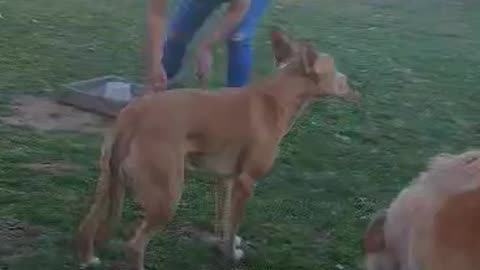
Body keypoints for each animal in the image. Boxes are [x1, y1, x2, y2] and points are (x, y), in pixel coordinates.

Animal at [76, 30, 360, 268]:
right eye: (337, 71)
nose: (353, 86)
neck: (276, 97)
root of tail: (133, 114)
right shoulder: (246, 182)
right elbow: (233, 225)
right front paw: (230, 254)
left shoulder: (227, 180)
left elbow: (224, 219)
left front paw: (225, 244)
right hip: (167, 197)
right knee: (135, 246)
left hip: (108, 183)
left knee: (88, 224)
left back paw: (89, 257)